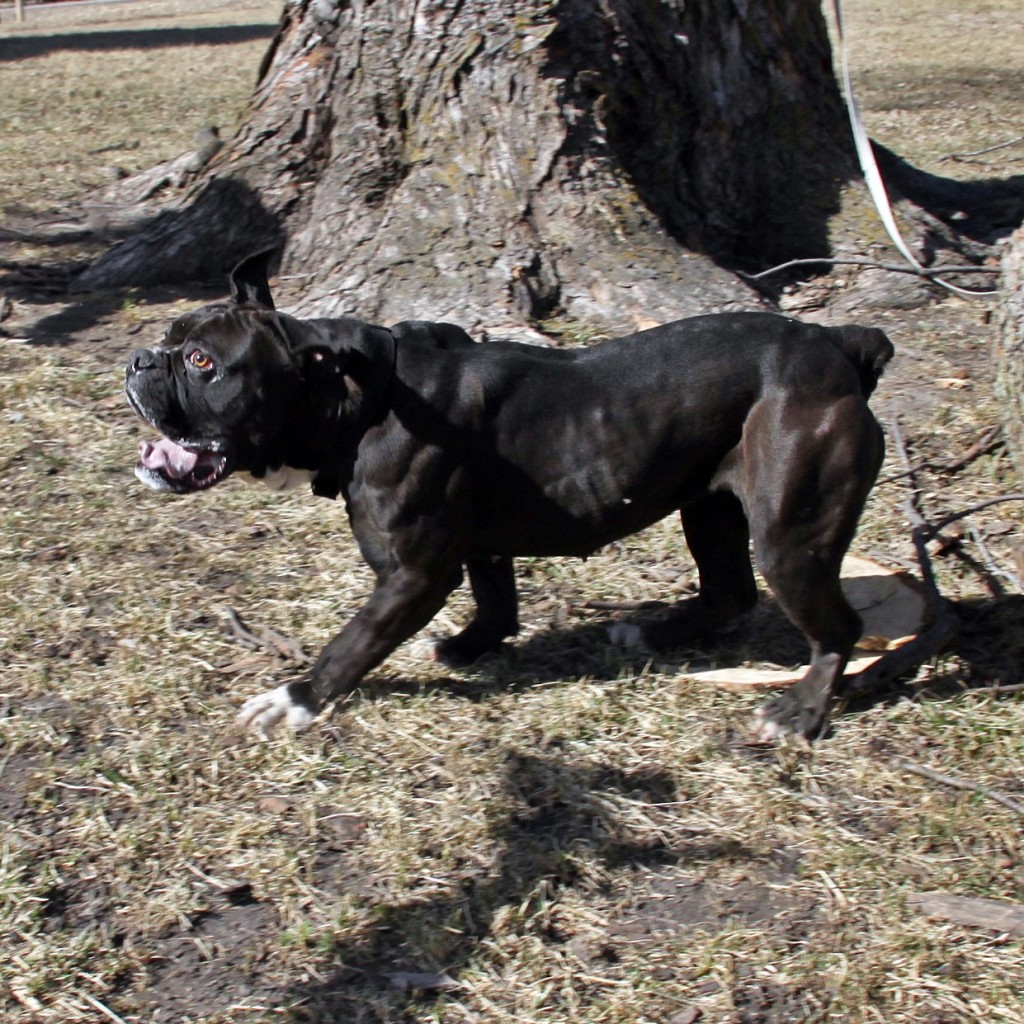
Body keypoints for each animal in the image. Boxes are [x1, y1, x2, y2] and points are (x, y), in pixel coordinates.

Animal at [125, 251, 897, 741]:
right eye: (167, 339)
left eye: (203, 362)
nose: (138, 361)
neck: (361, 397)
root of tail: (837, 345)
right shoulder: (476, 548)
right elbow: (497, 605)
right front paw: (468, 646)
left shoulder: (412, 574)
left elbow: (351, 643)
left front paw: (295, 700)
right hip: (709, 503)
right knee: (729, 591)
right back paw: (652, 633)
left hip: (789, 533)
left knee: (837, 628)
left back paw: (800, 713)